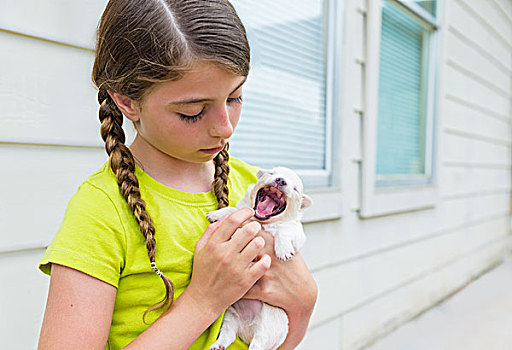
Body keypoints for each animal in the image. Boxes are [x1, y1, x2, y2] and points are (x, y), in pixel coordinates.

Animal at [205, 167, 310, 350]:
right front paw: (217, 214)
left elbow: (285, 230)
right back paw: (218, 345)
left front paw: (283, 250)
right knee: (227, 335)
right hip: (231, 318)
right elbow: (233, 210)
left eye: (295, 188)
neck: (261, 221)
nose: (281, 180)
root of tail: (248, 329)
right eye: (272, 173)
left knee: (258, 344)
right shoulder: (243, 210)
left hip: (266, 330)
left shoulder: (296, 231)